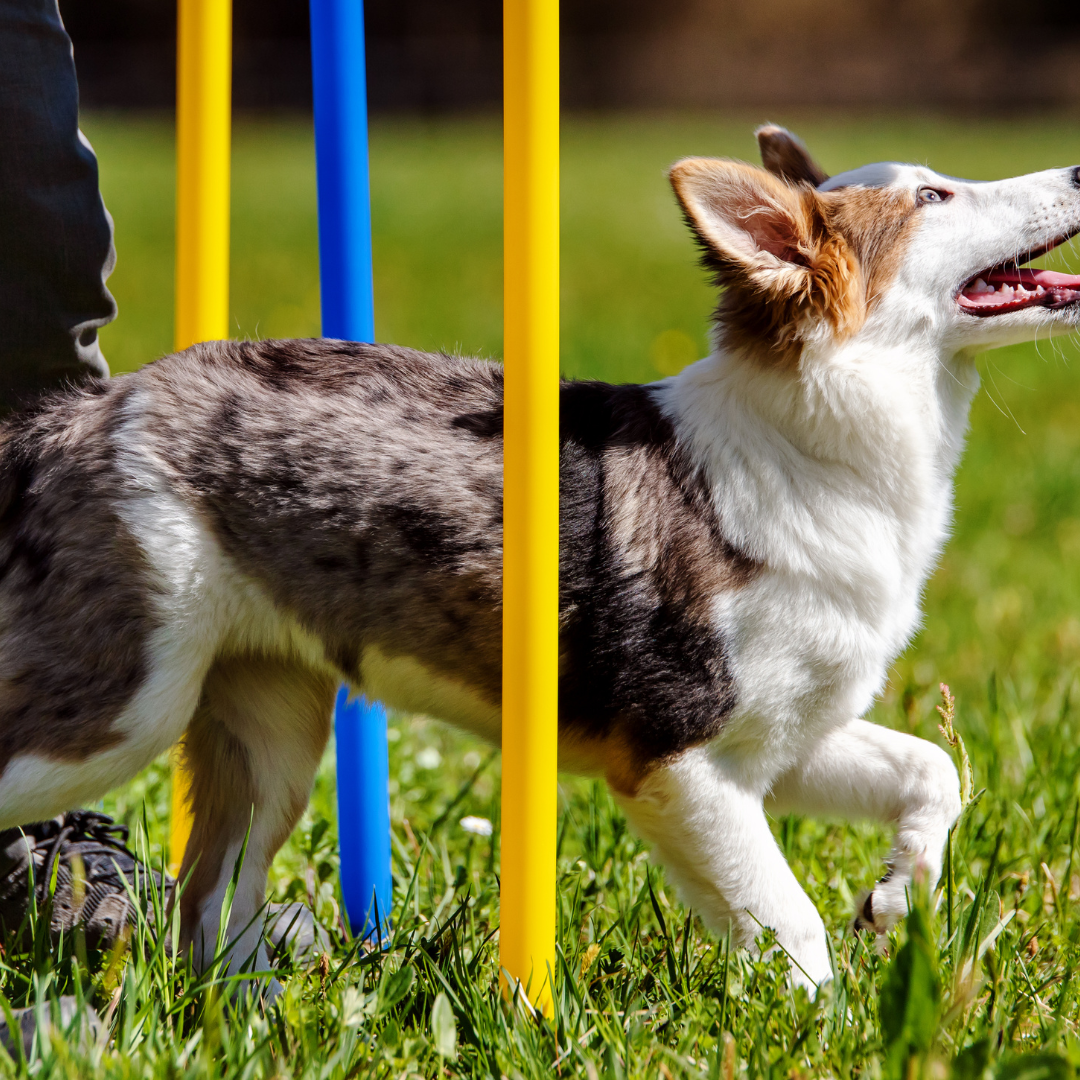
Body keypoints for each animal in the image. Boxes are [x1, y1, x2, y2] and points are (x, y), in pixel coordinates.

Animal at [0, 126, 1075, 989]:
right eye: (934, 198)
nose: (1074, 165)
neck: (823, 450)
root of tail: (82, 413)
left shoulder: (784, 737)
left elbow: (933, 771)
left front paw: (896, 896)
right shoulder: (676, 760)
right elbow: (787, 920)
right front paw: (824, 1026)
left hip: (268, 726)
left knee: (211, 904)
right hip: (120, 705)